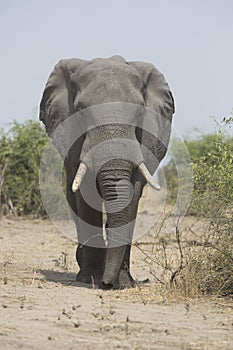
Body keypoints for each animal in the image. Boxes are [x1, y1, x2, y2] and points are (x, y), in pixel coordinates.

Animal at [39, 54, 175, 290]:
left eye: (140, 112)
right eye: (81, 112)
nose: (107, 284)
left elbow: (132, 193)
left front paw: (124, 283)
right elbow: (86, 195)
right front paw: (91, 278)